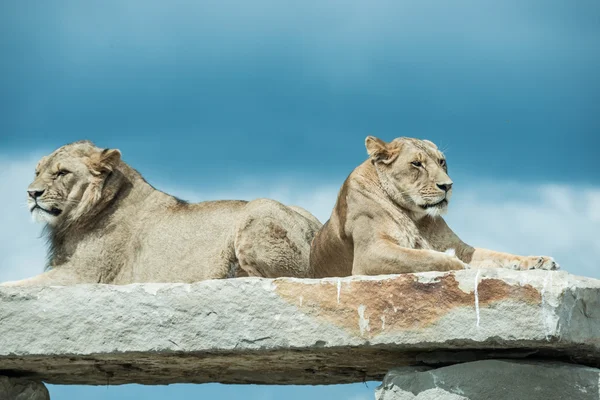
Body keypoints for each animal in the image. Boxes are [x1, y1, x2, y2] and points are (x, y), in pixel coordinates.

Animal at [0, 140, 324, 284]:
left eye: (62, 173)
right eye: (37, 172)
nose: (31, 193)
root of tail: (315, 229)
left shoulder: (83, 276)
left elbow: (16, 286)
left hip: (257, 209)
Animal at [308, 136, 560, 276]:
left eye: (442, 161)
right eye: (417, 164)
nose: (447, 186)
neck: (415, 216)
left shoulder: (462, 247)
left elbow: (498, 254)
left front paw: (536, 261)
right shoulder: (369, 253)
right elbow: (428, 258)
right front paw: (469, 268)